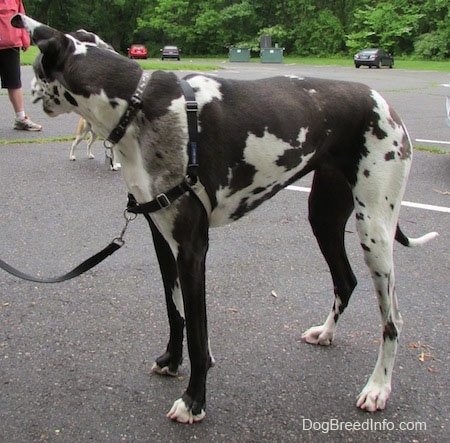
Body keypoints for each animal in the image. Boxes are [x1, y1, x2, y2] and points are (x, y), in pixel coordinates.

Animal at [12, 13, 438, 424]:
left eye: (34, 67)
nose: (29, 90)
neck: (137, 104)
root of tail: (381, 99)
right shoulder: (162, 241)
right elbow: (176, 312)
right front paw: (172, 361)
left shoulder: (192, 248)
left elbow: (199, 334)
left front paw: (194, 401)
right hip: (324, 219)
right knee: (345, 281)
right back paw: (327, 333)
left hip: (374, 233)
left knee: (393, 320)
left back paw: (378, 387)